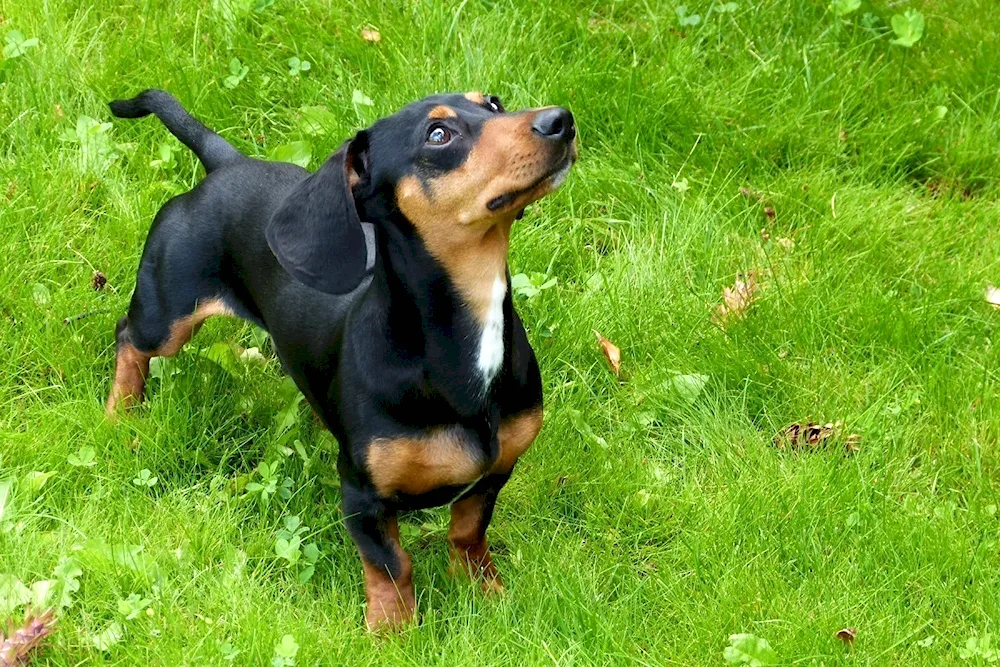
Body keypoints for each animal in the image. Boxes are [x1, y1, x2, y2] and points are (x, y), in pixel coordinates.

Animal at [104, 90, 576, 632]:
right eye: (438, 135)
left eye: (494, 103)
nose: (561, 121)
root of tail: (229, 163)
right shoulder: (361, 495)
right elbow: (391, 565)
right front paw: (392, 631)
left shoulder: (494, 473)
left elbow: (468, 534)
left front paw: (484, 589)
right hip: (167, 314)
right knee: (129, 339)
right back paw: (120, 410)